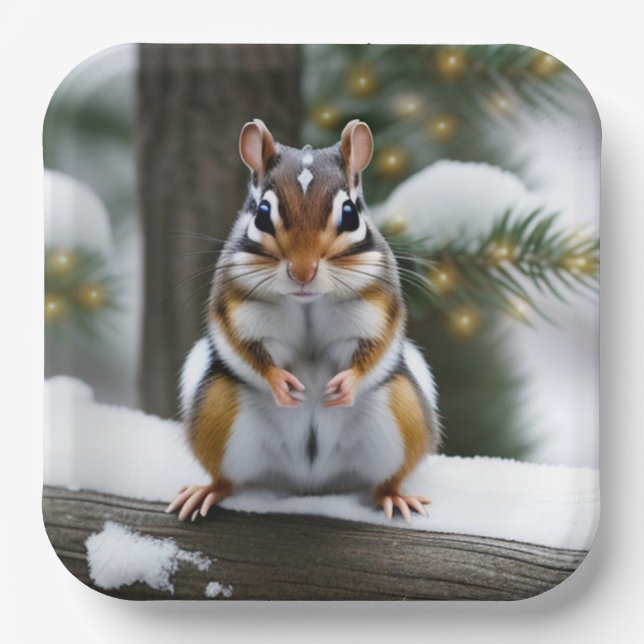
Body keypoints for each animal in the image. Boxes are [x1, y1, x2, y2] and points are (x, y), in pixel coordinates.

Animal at [166, 119, 441, 523]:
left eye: (350, 214)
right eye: (262, 213)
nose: (302, 272)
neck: (307, 302)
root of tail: (309, 483)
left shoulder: (378, 303)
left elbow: (376, 345)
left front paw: (346, 383)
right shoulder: (234, 304)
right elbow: (244, 346)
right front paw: (279, 382)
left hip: (400, 416)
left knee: (385, 480)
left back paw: (395, 497)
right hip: (219, 411)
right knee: (227, 480)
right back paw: (207, 492)